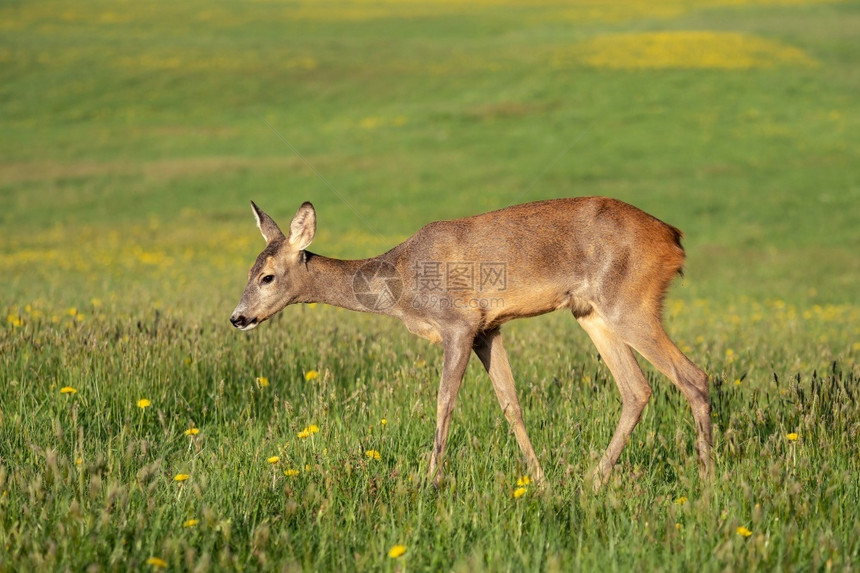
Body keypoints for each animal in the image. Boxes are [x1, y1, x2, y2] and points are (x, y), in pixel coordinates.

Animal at [228, 198, 712, 492]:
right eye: (249, 271)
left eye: (267, 276)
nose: (238, 317)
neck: (399, 283)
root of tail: (674, 238)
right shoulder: (487, 330)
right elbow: (511, 404)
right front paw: (539, 481)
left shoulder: (457, 323)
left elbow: (445, 401)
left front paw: (429, 480)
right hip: (591, 312)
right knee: (637, 389)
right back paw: (594, 480)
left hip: (630, 303)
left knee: (694, 377)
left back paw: (709, 480)